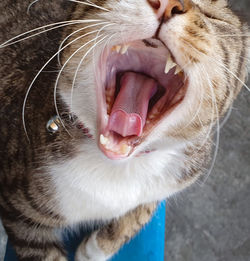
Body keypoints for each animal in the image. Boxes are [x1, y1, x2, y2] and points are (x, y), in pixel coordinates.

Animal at [0, 0, 249, 258]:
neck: (115, 168)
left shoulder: (175, 176)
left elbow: (141, 211)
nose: (168, 4)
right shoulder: (18, 209)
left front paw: (93, 251)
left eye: (213, 16)